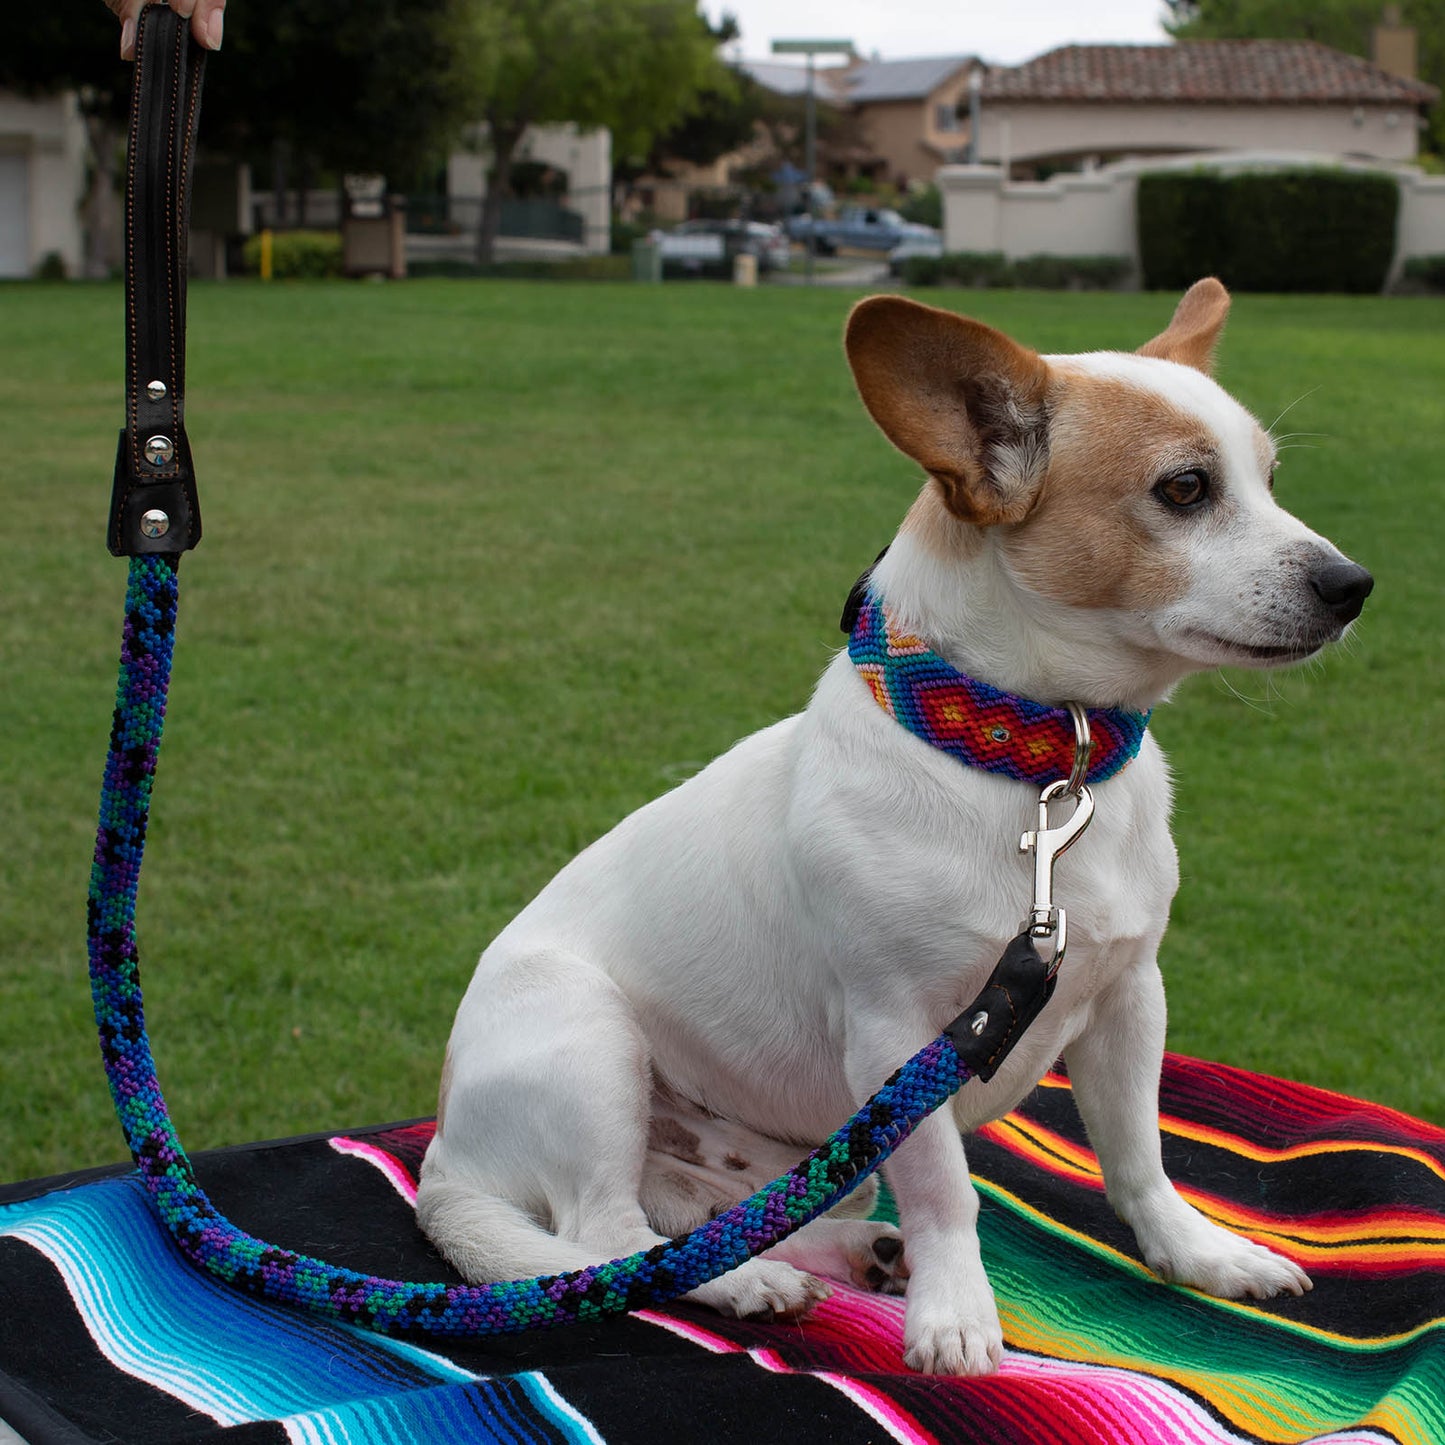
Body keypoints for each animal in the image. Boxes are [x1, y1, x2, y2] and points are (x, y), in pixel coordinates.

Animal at [421, 281, 1375, 1375]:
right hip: (588, 1045)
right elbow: (947, 1190)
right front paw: (953, 1313)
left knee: (696, 1221)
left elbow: (1137, 1155)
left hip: (796, 1156)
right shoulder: (898, 1042)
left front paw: (1197, 1252)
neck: (1031, 767)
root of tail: (443, 1161)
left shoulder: (1130, 999)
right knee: (607, 1241)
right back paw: (746, 1282)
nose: (1352, 584)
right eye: (1183, 489)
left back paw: (843, 1253)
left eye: (1270, 479)